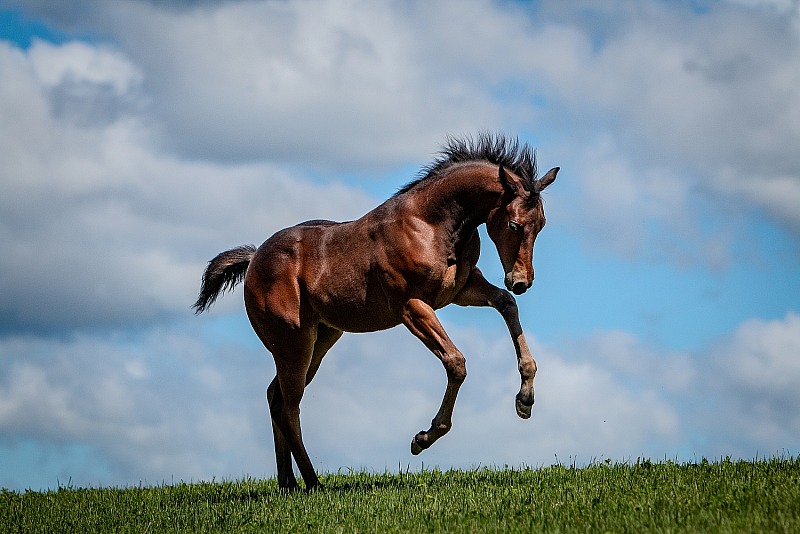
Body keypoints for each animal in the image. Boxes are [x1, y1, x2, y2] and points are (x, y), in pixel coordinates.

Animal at [194, 133, 558, 491]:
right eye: (514, 224)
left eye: (541, 224)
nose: (521, 281)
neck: (433, 225)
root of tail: (254, 258)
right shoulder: (412, 307)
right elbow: (456, 363)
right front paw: (423, 438)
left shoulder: (462, 290)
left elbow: (506, 304)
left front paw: (525, 399)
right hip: (293, 343)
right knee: (288, 408)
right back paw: (313, 482)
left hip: (320, 340)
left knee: (276, 397)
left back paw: (288, 482)